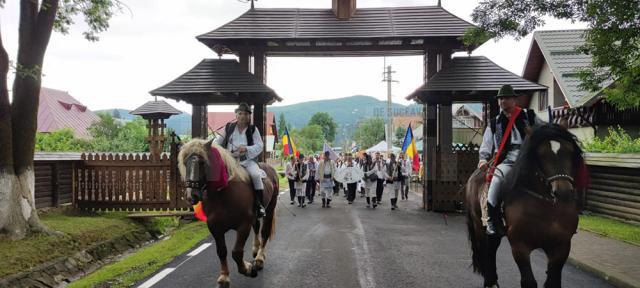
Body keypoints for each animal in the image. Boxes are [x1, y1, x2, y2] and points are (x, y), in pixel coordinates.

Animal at [180, 138, 280, 286]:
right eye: (185, 163)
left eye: (203, 163)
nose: (191, 196)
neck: (223, 194)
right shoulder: (215, 228)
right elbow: (222, 251)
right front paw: (224, 277)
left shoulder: (243, 226)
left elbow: (236, 252)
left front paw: (248, 269)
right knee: (256, 227)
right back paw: (255, 250)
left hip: (270, 208)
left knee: (264, 232)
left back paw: (259, 259)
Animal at [468, 124, 588, 288]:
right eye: (541, 154)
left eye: (569, 150)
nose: (563, 193)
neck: (546, 207)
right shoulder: (520, 245)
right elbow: (529, 281)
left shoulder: (561, 246)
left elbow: (552, 282)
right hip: (479, 227)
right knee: (487, 251)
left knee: (491, 249)